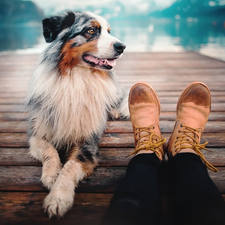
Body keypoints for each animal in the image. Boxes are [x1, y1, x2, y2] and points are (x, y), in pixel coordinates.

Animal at [25, 11, 129, 218]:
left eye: (108, 31)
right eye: (90, 31)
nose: (122, 46)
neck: (76, 77)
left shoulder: (87, 143)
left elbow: (70, 167)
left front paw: (58, 199)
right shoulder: (37, 133)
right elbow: (49, 151)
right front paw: (52, 174)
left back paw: (113, 111)